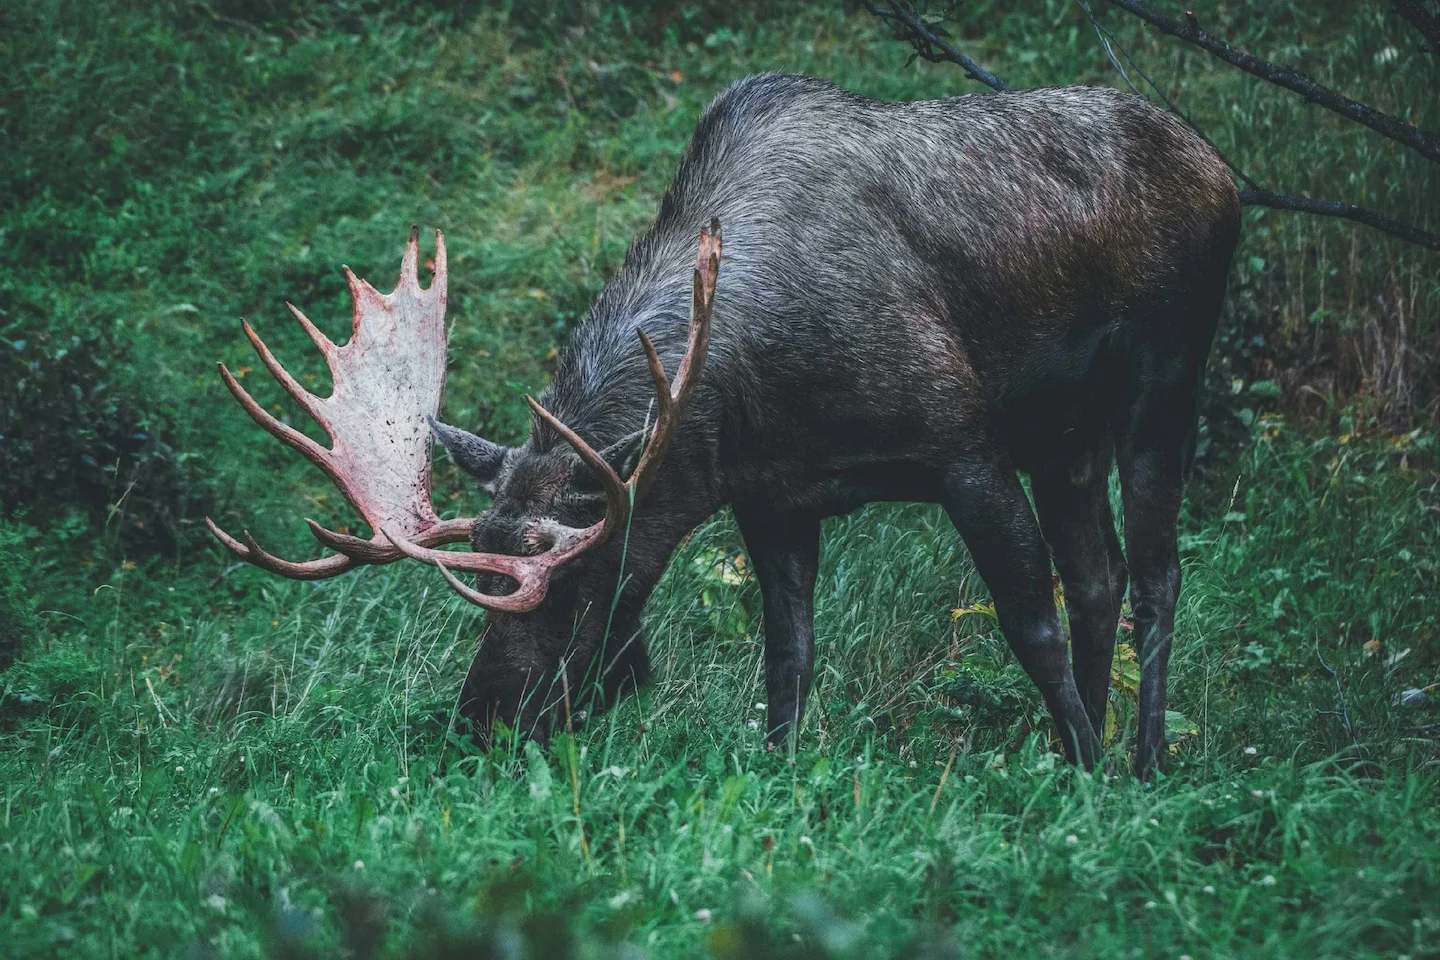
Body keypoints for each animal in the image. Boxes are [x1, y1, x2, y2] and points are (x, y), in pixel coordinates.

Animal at [208, 75, 1240, 778]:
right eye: (482, 580)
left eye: (577, 585)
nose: (482, 723)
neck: (748, 387)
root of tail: (1223, 169)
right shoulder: (771, 496)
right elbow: (788, 655)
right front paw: (783, 772)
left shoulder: (964, 443)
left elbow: (1029, 621)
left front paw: (1086, 774)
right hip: (1066, 436)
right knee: (1100, 576)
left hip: (1164, 378)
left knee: (1156, 576)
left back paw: (1136, 760)